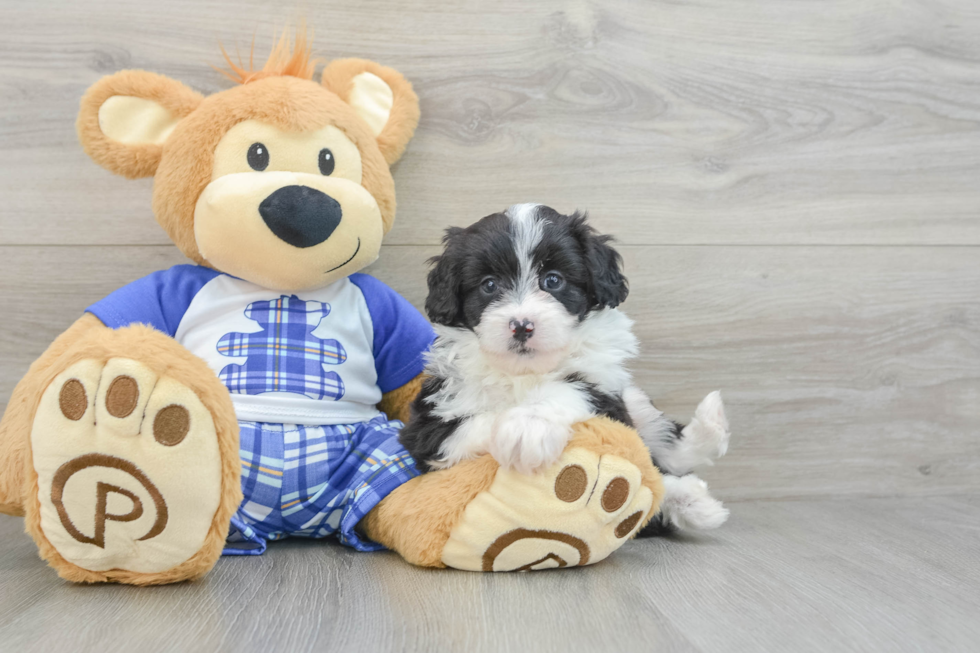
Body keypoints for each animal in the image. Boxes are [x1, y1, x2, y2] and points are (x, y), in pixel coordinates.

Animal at [402, 204, 732, 528]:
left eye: (553, 280)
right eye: (489, 285)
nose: (522, 325)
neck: (525, 372)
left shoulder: (606, 390)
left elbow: (572, 386)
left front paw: (529, 425)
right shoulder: (429, 425)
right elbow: (471, 422)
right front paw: (516, 428)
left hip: (636, 400)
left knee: (666, 452)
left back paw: (703, 458)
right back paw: (689, 499)